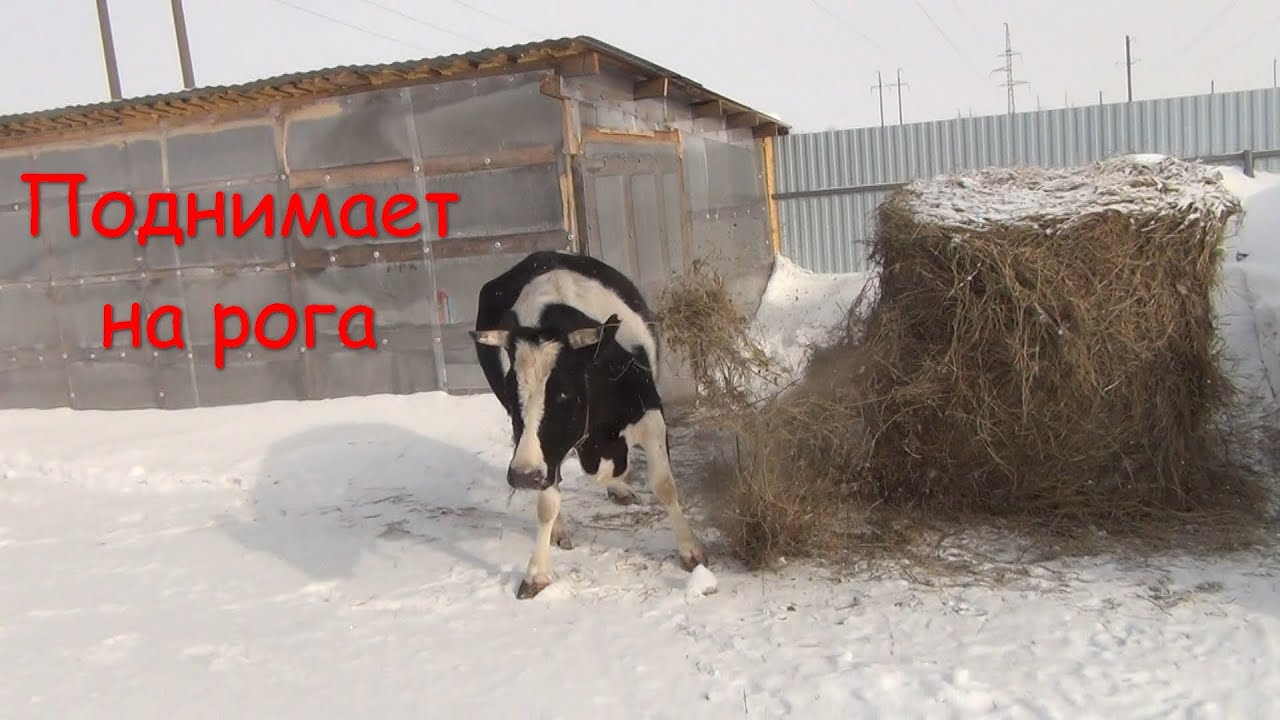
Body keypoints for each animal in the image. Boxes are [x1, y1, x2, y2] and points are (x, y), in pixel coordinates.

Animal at [469, 249, 707, 599]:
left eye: (564, 393)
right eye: (513, 394)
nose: (523, 475)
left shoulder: (651, 415)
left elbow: (664, 484)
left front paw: (691, 550)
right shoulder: (541, 448)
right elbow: (547, 503)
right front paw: (537, 573)